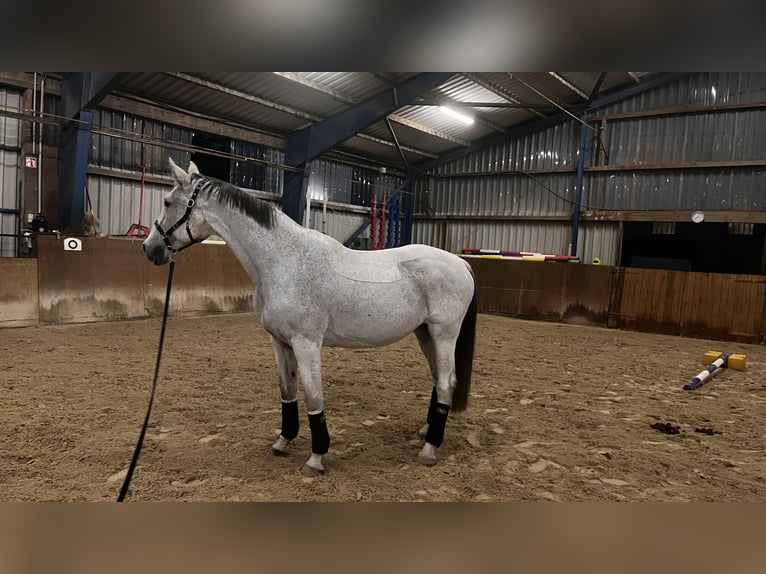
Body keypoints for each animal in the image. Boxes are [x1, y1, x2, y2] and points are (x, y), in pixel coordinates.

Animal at [142, 158, 477, 476]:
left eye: (167, 202)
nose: (149, 248)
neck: (284, 260)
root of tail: (461, 263)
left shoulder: (307, 344)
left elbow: (314, 398)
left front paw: (317, 457)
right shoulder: (279, 342)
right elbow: (287, 391)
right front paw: (283, 441)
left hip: (444, 334)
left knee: (446, 382)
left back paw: (430, 449)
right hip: (425, 333)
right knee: (439, 379)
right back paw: (426, 431)